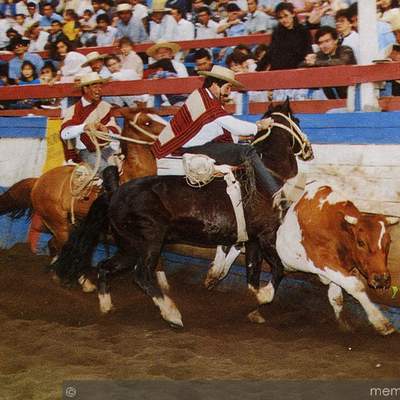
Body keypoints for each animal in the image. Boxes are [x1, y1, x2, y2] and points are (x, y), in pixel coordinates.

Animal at [0, 109, 166, 290]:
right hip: (57, 223)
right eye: (147, 122)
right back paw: (81, 281)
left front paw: (164, 285)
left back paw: (57, 272)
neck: (132, 175)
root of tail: (38, 181)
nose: (167, 132)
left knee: (54, 245)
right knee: (65, 248)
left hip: (63, 223)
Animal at [54, 99, 314, 324]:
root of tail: (115, 191)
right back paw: (171, 313)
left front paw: (255, 308)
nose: (309, 150)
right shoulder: (267, 235)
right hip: (150, 240)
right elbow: (279, 269)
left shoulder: (252, 240)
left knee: (105, 267)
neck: (263, 177)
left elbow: (252, 276)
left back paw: (107, 306)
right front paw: (265, 296)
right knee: (141, 274)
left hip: (129, 245)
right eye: (298, 120)